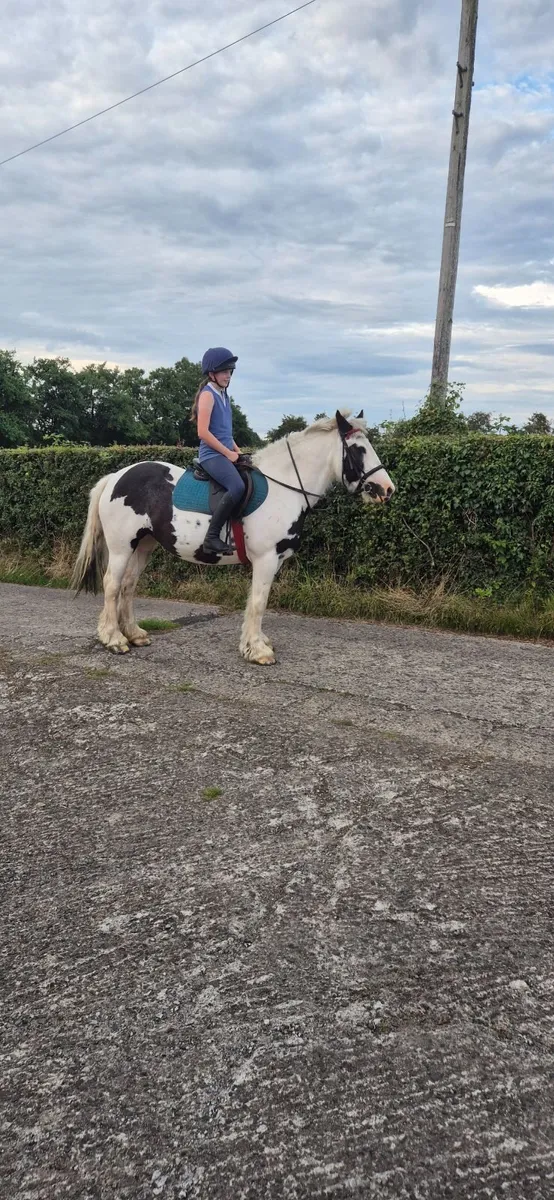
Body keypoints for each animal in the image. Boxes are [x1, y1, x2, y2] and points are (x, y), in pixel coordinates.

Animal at [71, 409, 395, 665]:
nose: (387, 489)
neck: (284, 486)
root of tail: (115, 477)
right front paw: (257, 651)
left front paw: (255, 641)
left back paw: (134, 634)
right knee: (112, 585)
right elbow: (259, 602)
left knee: (128, 586)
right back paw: (114, 639)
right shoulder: (266, 559)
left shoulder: (272, 561)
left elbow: (256, 600)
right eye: (359, 450)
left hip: (144, 545)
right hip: (121, 547)